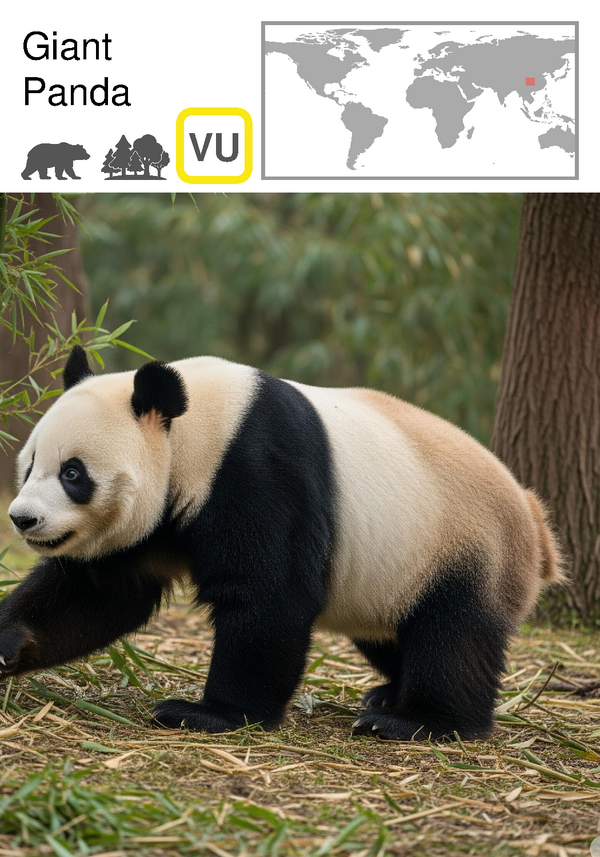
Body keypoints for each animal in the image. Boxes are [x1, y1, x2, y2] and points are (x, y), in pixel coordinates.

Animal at [0, 346, 563, 740]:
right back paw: (387, 696)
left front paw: (207, 713)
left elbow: (268, 595)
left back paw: (420, 722)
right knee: (392, 632)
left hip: (463, 543)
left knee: (453, 636)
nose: (23, 519)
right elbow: (96, 595)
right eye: (29, 466)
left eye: (73, 473)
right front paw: (8, 643)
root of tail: (534, 518)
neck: (197, 431)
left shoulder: (259, 472)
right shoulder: (153, 524)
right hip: (395, 570)